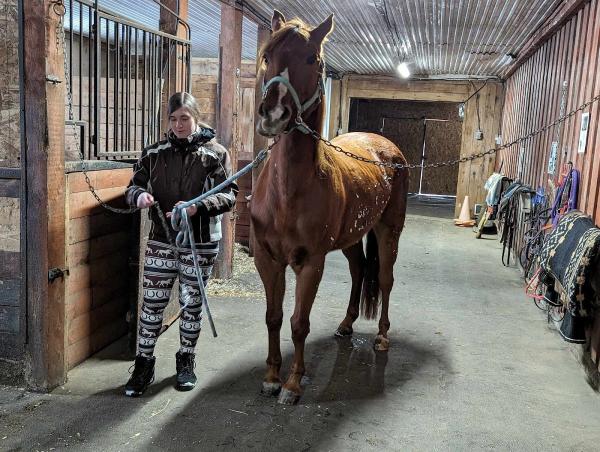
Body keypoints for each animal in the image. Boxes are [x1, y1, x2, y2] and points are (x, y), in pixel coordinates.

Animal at [248, 10, 408, 406]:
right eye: (266, 57)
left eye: (313, 60)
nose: (273, 114)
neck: (288, 192)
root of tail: (384, 146)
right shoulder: (267, 259)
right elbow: (273, 317)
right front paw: (271, 377)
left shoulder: (311, 263)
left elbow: (298, 323)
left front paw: (292, 384)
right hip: (351, 238)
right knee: (359, 271)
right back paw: (346, 325)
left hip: (389, 231)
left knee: (385, 279)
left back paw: (382, 337)